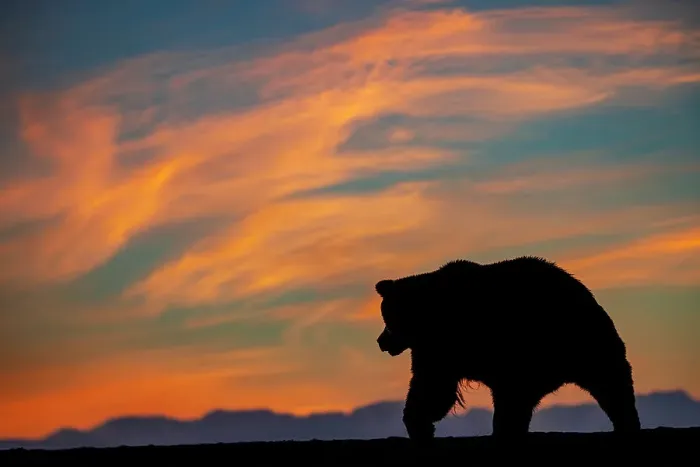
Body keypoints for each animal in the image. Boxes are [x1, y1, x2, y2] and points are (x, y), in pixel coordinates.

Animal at [375, 256, 641, 441]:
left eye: (387, 318)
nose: (381, 341)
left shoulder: (444, 344)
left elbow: (433, 387)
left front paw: (418, 423)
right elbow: (431, 386)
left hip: (571, 341)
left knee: (610, 380)